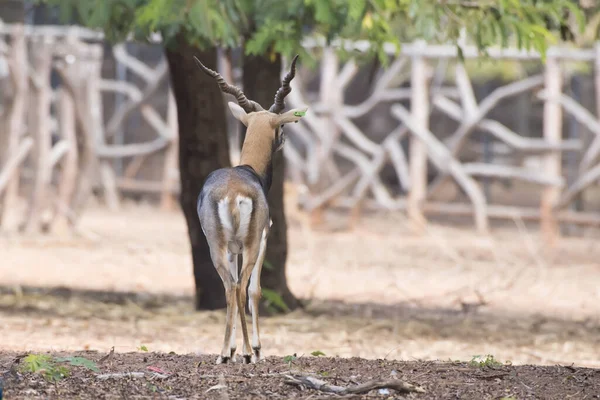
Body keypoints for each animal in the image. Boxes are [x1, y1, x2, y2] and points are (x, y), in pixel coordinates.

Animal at [196, 54, 310, 364]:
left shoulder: (233, 248)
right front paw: (256, 348)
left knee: (229, 286)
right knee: (242, 286)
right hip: (250, 244)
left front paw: (233, 349)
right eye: (281, 126)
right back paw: (249, 353)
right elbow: (255, 290)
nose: (284, 139)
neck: (248, 170)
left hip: (217, 246)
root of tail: (233, 193)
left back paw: (224, 354)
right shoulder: (263, 238)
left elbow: (236, 289)